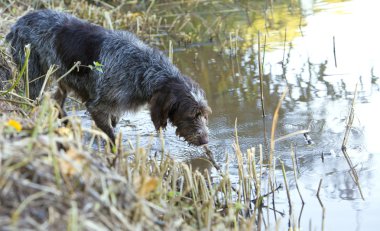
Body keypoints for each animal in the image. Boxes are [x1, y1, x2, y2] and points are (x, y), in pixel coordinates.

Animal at [5, 9, 212, 146]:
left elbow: (114, 121)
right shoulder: (97, 106)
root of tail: (17, 23)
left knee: (57, 102)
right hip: (34, 75)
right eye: (191, 115)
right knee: (37, 99)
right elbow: (111, 134)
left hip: (64, 77)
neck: (145, 69)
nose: (205, 140)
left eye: (204, 114)